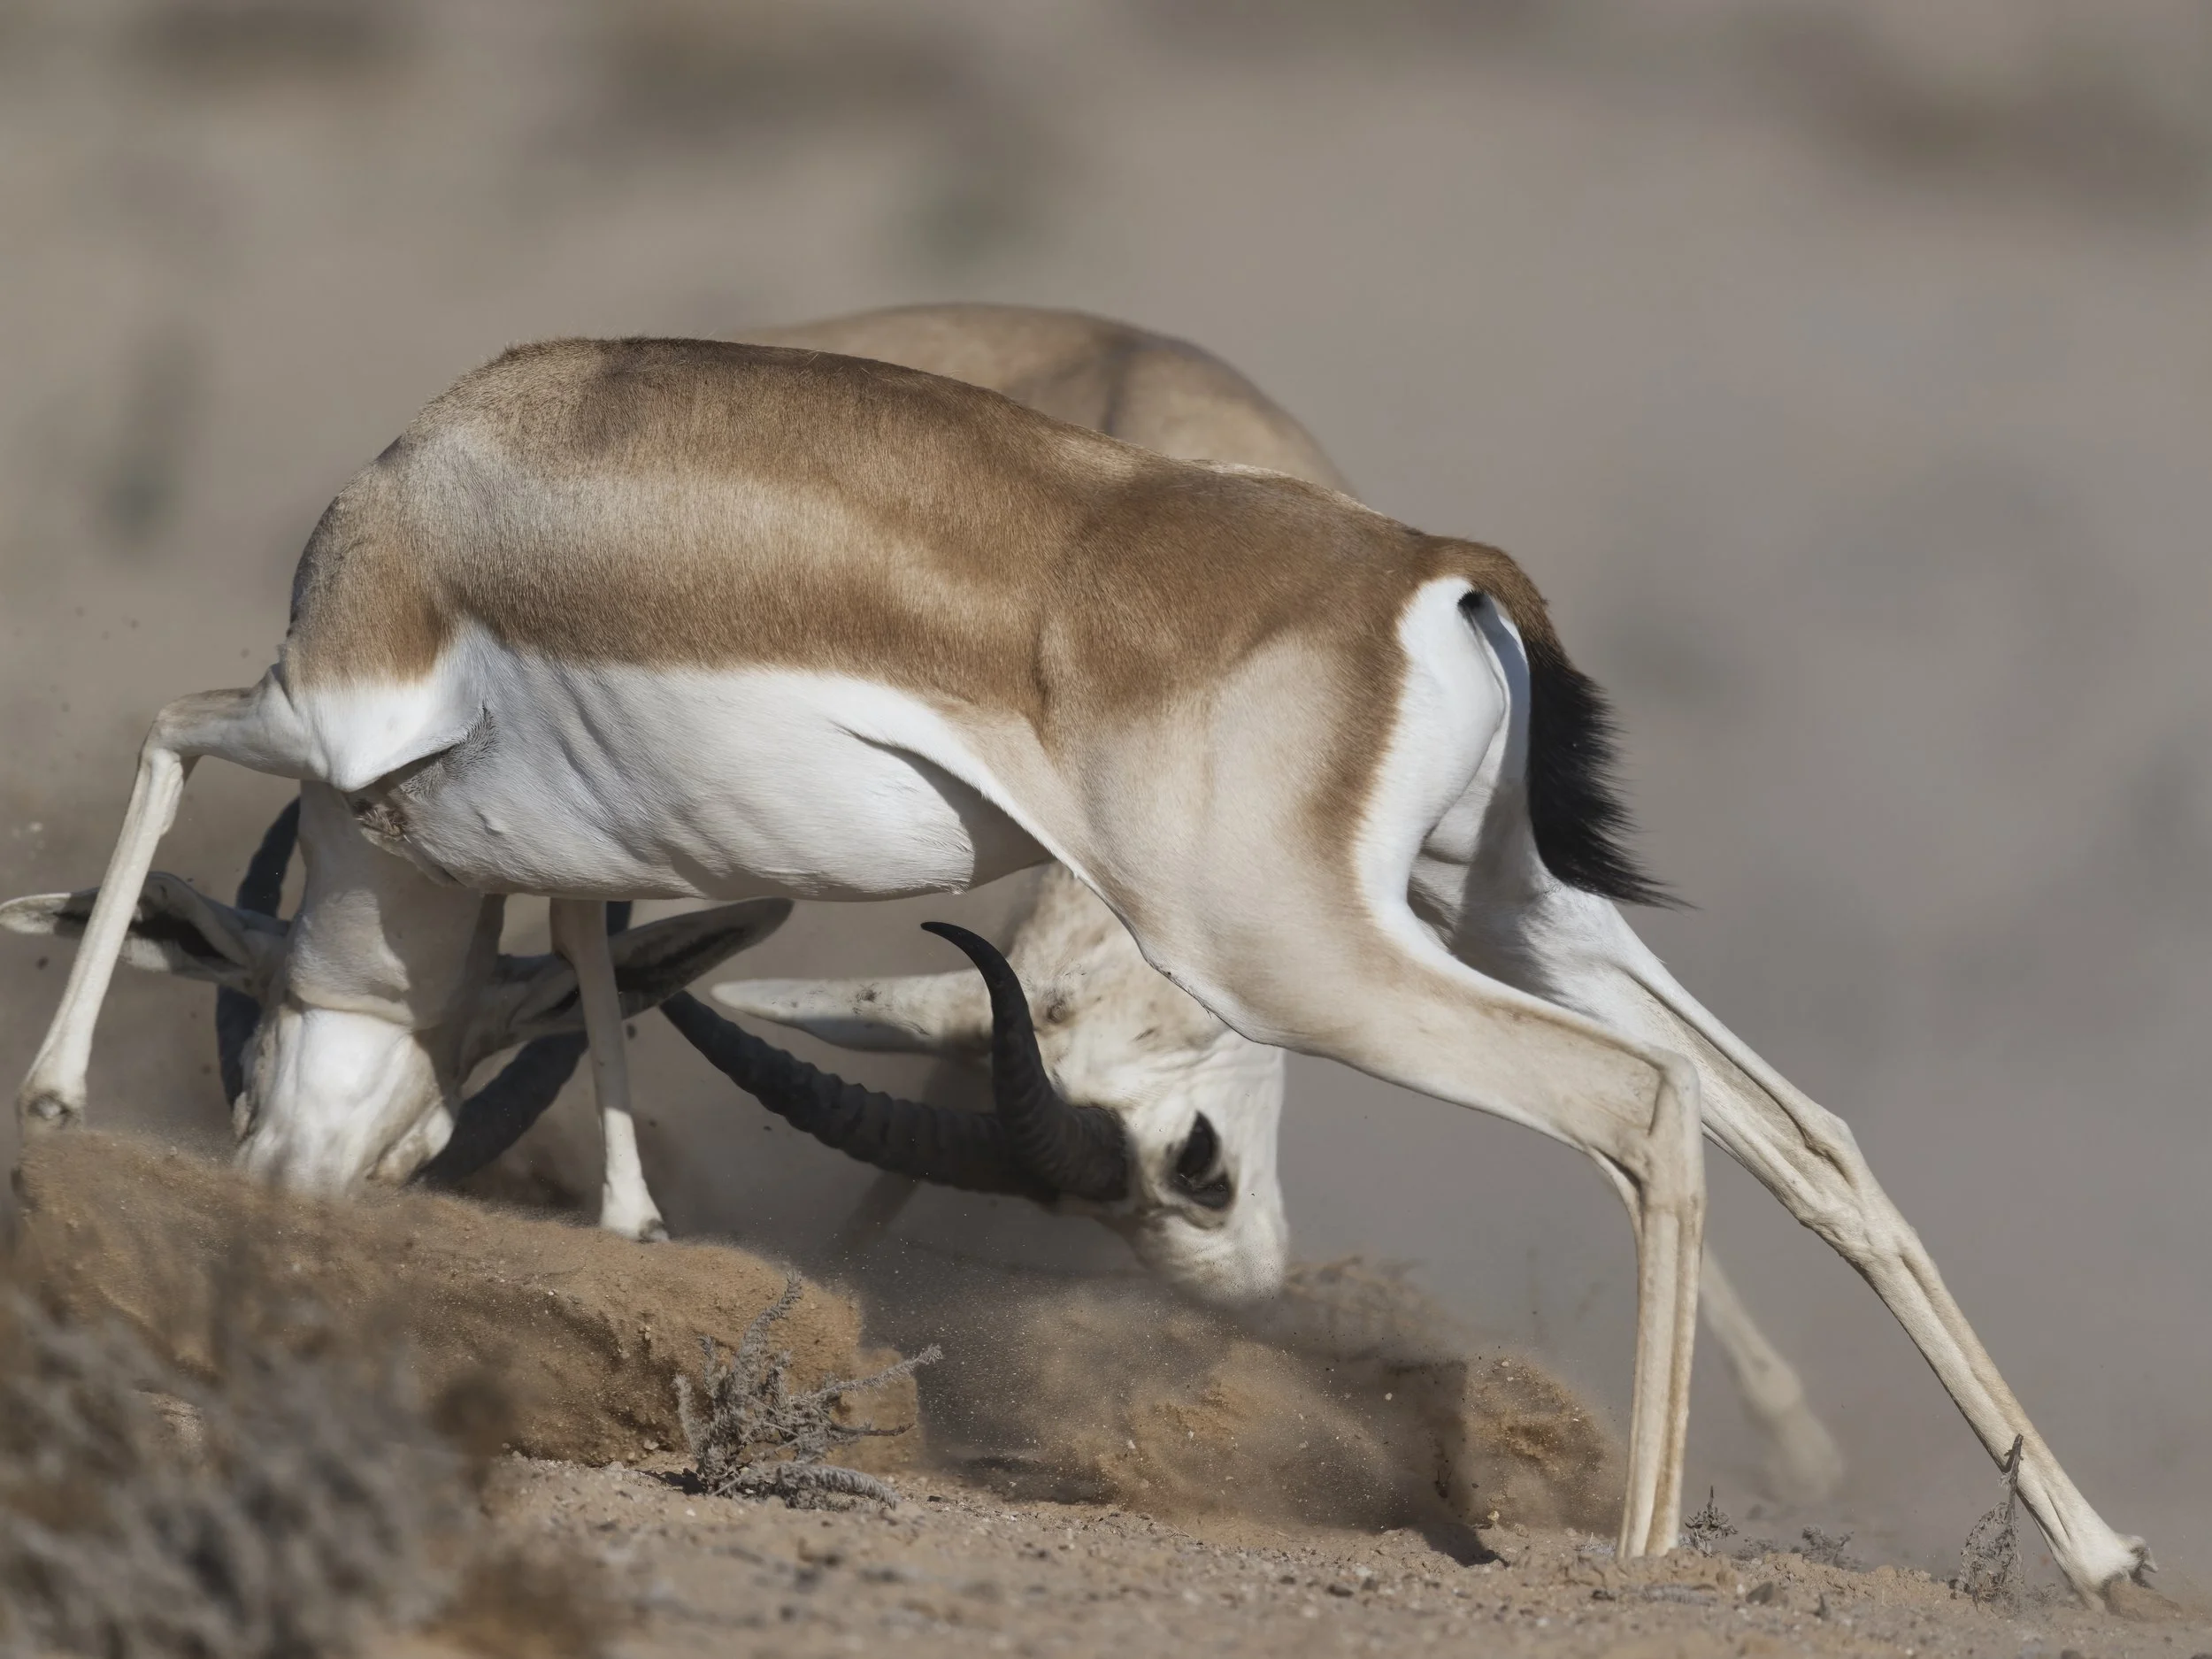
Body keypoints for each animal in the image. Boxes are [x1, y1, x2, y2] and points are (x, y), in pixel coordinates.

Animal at [4, 324, 2147, 1596]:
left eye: (256, 1026)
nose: (288, 1178)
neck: (452, 478)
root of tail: (1426, 568)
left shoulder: (334, 718)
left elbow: (174, 734)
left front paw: (50, 1092)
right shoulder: (592, 856)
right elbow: (612, 966)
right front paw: (624, 1220)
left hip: (1316, 953)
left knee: (1643, 1104)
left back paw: (1635, 1556)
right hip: (1508, 902)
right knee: (1803, 1130)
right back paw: (2100, 1547)